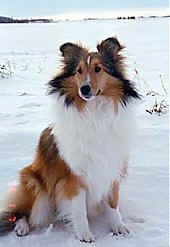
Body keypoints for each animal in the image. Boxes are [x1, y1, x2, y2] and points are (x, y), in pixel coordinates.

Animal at [0, 36, 139, 241]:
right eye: (78, 71)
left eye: (98, 68)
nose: (85, 89)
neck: (94, 113)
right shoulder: (73, 176)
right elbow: (79, 210)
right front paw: (85, 235)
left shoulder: (112, 167)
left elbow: (113, 204)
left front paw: (119, 227)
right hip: (35, 185)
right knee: (22, 213)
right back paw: (21, 228)